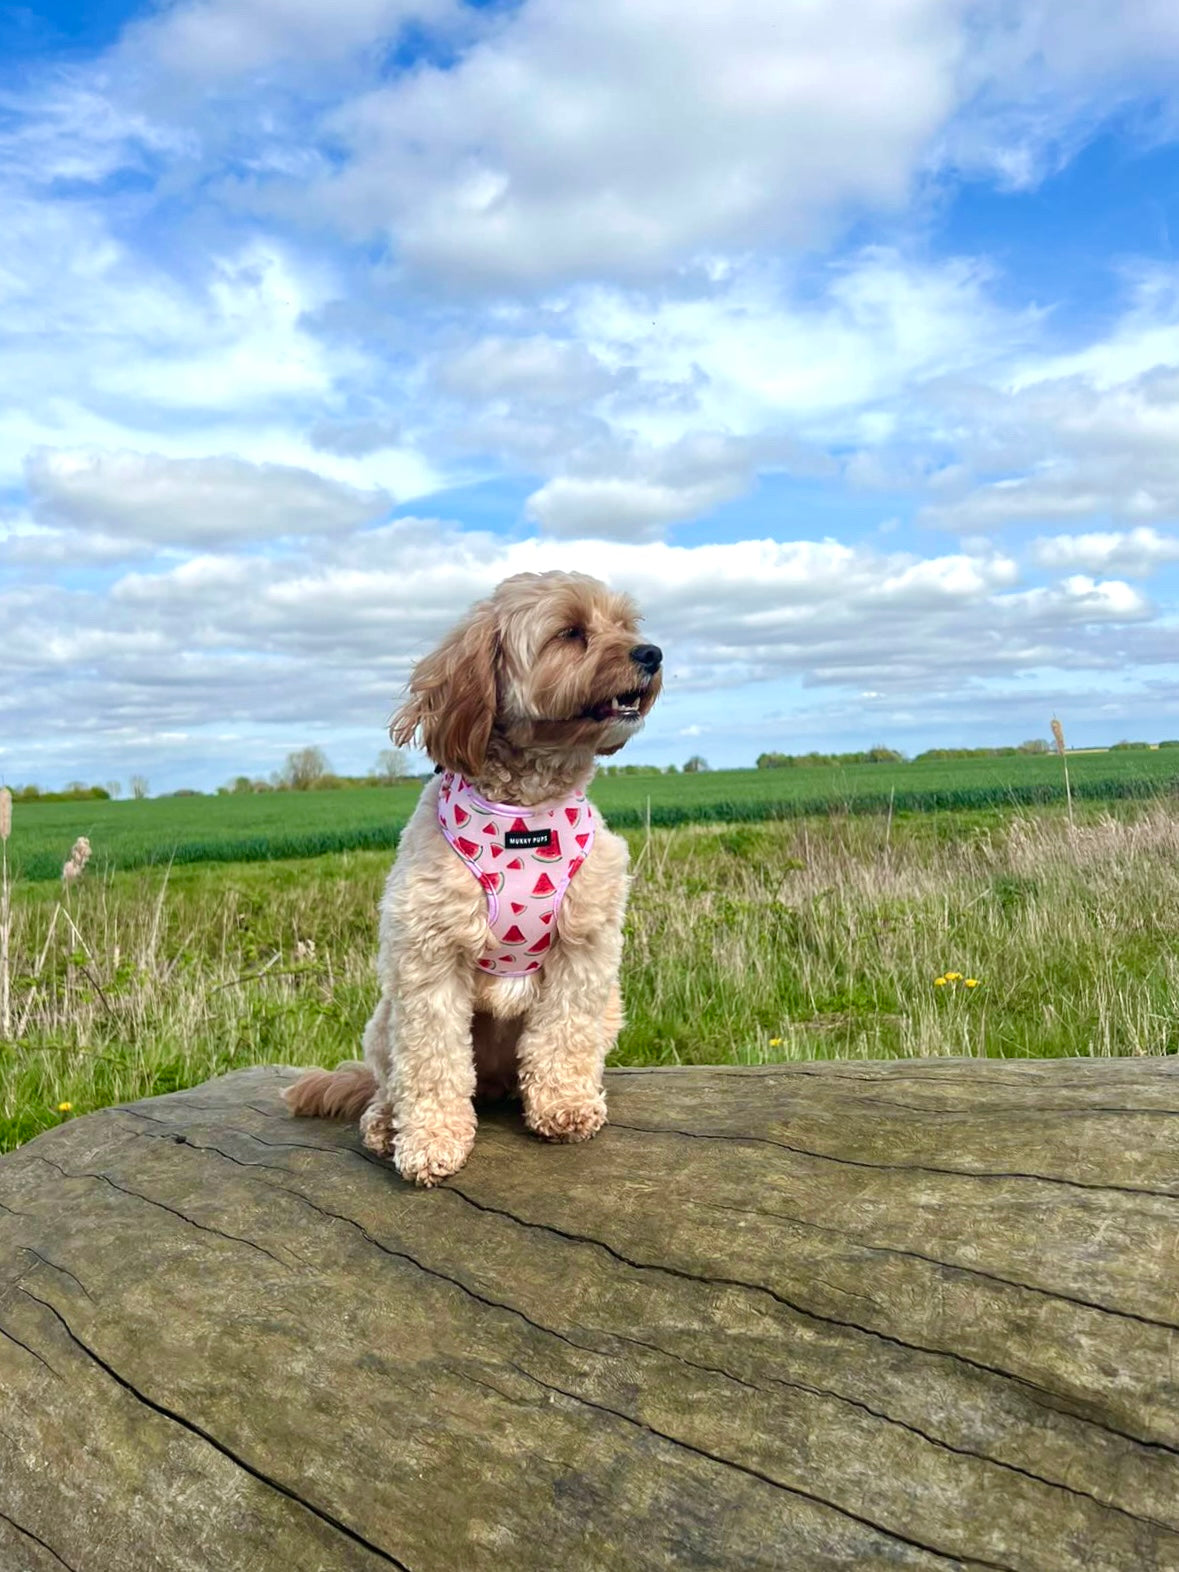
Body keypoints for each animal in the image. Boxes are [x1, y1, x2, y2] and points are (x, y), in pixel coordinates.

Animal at [279, 572, 660, 1182]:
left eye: (625, 625)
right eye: (570, 632)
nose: (652, 653)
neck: (524, 812)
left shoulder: (584, 949)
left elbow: (563, 1034)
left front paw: (565, 1106)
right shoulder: (428, 957)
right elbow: (432, 1059)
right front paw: (430, 1140)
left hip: (609, 1008)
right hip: (383, 1019)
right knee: (389, 1083)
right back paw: (386, 1123)